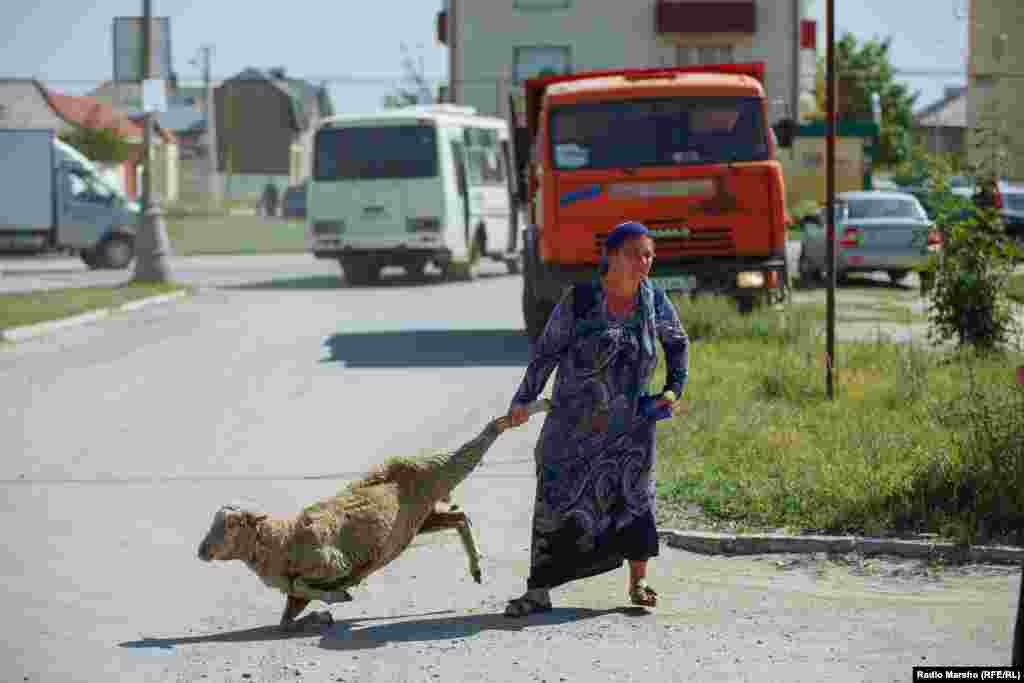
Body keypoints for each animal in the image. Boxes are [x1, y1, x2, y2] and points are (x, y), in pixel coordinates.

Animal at [195, 401, 548, 630]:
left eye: (231, 525)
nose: (201, 551)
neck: (282, 538)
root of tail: (406, 463)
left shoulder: (335, 564)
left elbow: (304, 583)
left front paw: (338, 597)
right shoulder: (294, 593)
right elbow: (286, 619)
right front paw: (319, 617)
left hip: (442, 472)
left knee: (484, 438)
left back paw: (533, 407)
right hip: (418, 521)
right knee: (460, 517)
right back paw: (475, 568)